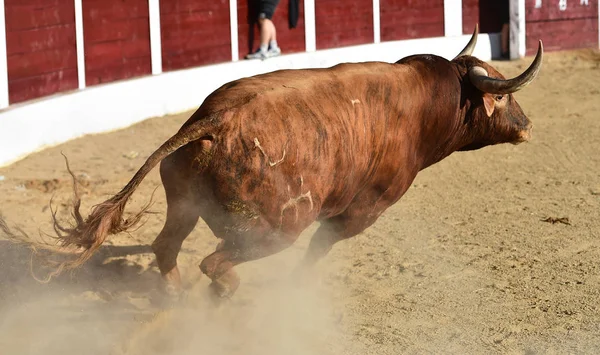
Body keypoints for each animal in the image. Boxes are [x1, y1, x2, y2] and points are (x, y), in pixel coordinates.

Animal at [0, 26, 544, 300]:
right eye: (502, 97)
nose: (527, 124)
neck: (426, 104)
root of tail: (214, 120)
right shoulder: (359, 213)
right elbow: (318, 252)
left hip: (185, 202)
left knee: (165, 246)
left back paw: (175, 293)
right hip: (275, 229)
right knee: (215, 260)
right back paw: (225, 290)